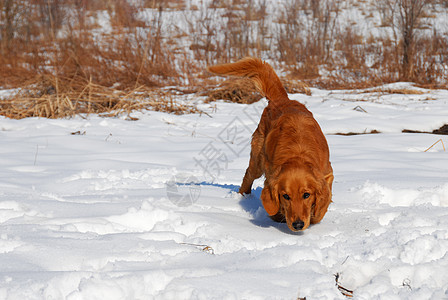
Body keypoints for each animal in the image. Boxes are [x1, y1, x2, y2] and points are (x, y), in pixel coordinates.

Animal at [207, 58, 332, 232]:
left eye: (306, 195)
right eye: (285, 196)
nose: (298, 225)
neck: (297, 154)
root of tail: (282, 99)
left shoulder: (327, 172)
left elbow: (322, 205)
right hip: (258, 161)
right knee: (248, 175)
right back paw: (242, 196)